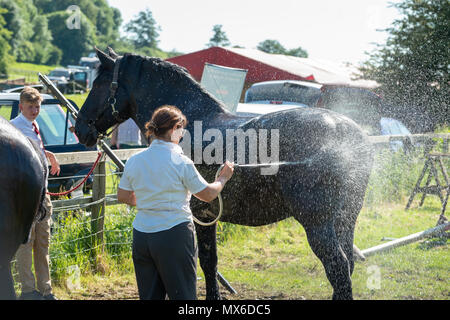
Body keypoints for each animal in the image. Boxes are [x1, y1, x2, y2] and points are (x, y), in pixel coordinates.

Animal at [75, 48, 374, 300]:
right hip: (346, 219)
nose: (79, 128)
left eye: (98, 84)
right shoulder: (209, 214)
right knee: (346, 266)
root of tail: (350, 136)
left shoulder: (201, 212)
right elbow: (211, 262)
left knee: (338, 268)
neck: (191, 128)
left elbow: (206, 263)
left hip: (317, 222)